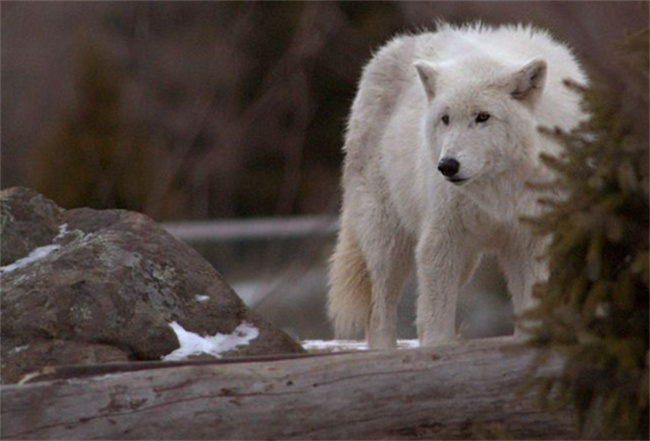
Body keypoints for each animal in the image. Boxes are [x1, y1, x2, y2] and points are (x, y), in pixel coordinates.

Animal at [326, 23, 584, 348]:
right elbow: (435, 322)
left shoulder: (530, 240)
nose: (447, 166)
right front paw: (438, 349)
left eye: (482, 117)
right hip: (388, 240)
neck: (497, 192)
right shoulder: (441, 239)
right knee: (380, 311)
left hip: (467, 261)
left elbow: (531, 306)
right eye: (445, 119)